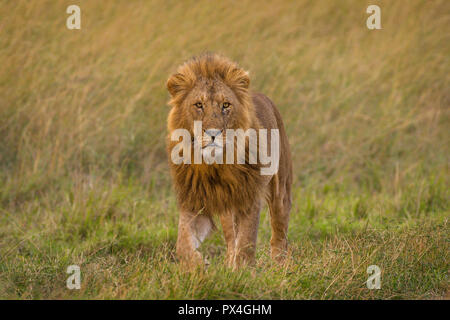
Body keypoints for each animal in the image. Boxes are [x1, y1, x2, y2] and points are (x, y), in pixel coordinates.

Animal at [165, 52, 292, 268]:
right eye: (199, 105)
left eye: (226, 105)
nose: (213, 133)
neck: (215, 166)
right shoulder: (194, 200)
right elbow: (182, 243)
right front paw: (199, 267)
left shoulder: (248, 199)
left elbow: (246, 242)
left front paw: (242, 272)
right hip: (226, 208)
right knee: (232, 238)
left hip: (280, 190)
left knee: (279, 234)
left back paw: (280, 267)